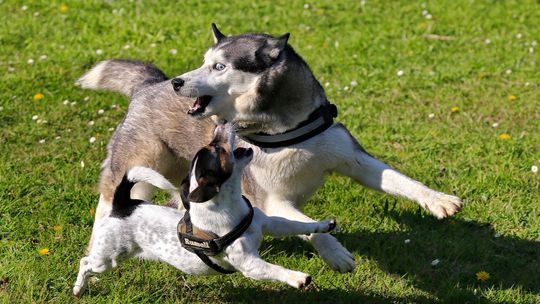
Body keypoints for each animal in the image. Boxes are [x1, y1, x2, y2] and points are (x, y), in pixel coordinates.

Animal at [74, 124, 336, 296]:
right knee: (85, 263)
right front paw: (298, 277)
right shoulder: (250, 265)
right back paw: (78, 288)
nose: (222, 124)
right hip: (107, 258)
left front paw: (323, 225)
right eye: (217, 149)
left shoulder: (269, 223)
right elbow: (275, 269)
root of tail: (123, 205)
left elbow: (297, 225)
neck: (231, 208)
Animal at [78, 24, 462, 274]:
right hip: (136, 165)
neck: (287, 131)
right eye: (204, 61)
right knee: (110, 202)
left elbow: (397, 180)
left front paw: (438, 200)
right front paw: (335, 252)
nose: (178, 82)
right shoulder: (271, 198)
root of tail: (149, 84)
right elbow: (306, 224)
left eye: (219, 66)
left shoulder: (353, 159)